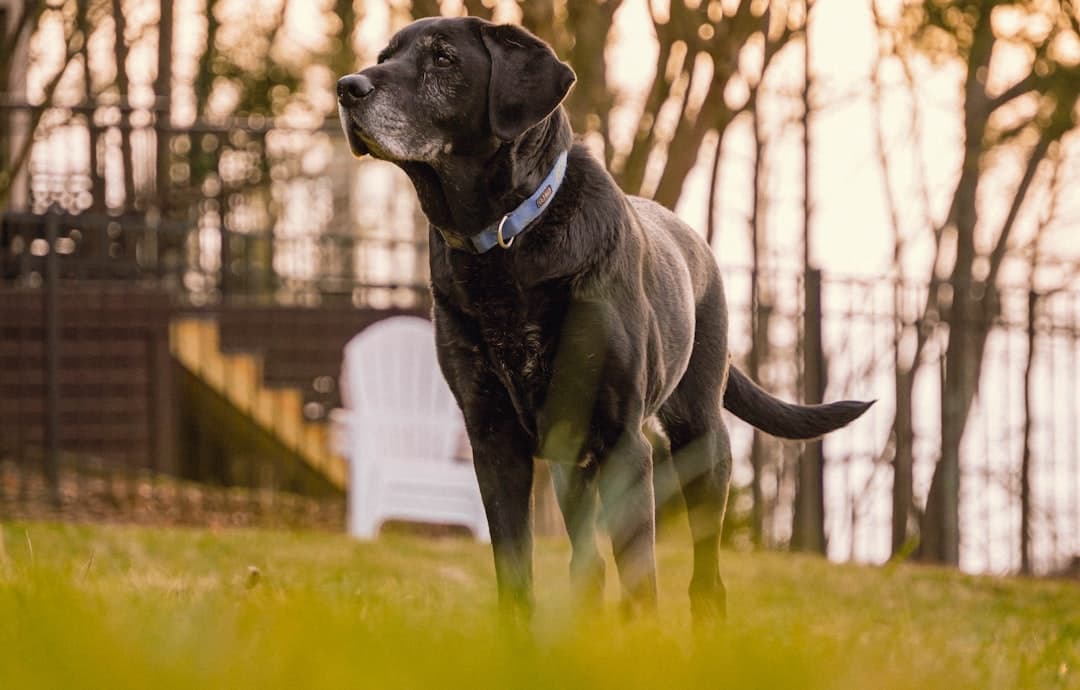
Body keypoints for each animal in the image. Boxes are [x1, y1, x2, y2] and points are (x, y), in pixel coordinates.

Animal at [336, 14, 868, 621]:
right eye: (385, 55)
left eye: (443, 58)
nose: (347, 87)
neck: (505, 239)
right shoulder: (493, 437)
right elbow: (514, 572)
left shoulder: (623, 442)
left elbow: (640, 578)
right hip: (572, 461)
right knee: (587, 561)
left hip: (702, 440)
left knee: (705, 575)